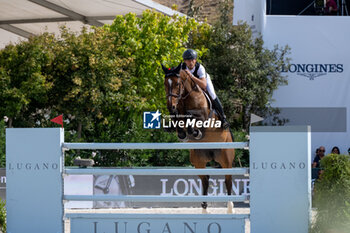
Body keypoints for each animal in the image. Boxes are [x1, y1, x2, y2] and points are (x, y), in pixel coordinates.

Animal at [162, 62, 235, 214]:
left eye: (177, 83)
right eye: (166, 84)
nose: (170, 106)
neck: (185, 98)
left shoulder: (203, 117)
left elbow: (190, 116)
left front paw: (194, 131)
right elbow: (179, 119)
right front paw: (183, 133)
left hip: (225, 158)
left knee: (228, 179)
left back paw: (230, 208)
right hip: (198, 160)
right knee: (205, 179)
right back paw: (204, 209)